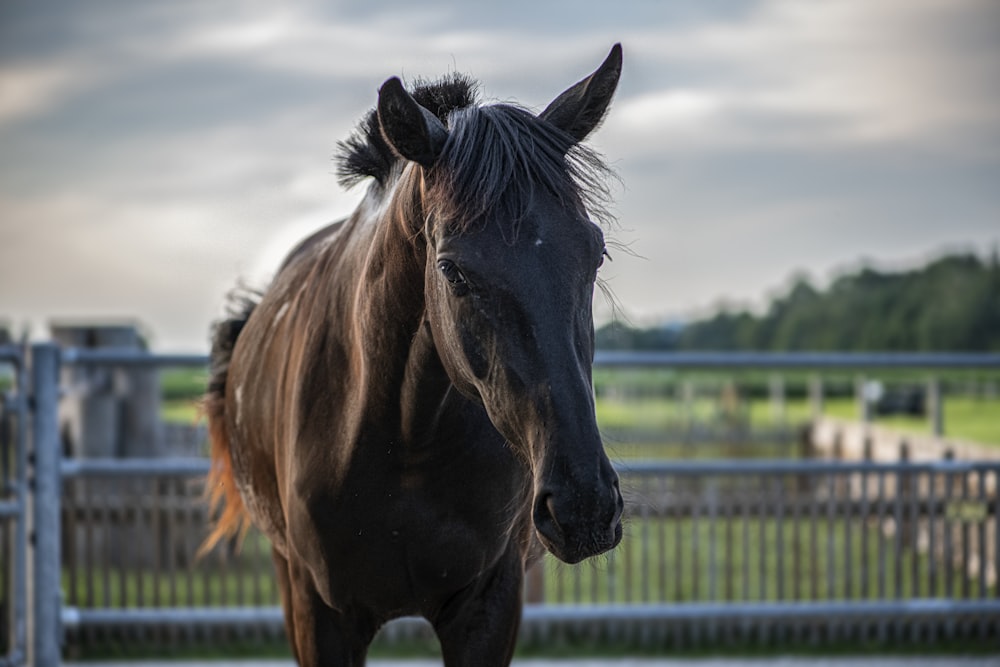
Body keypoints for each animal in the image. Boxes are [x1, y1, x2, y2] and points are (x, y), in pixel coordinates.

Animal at [201, 44, 624, 664]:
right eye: (452, 271)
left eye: (595, 253)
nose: (585, 506)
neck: (404, 441)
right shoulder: (321, 615)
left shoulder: (489, 605)